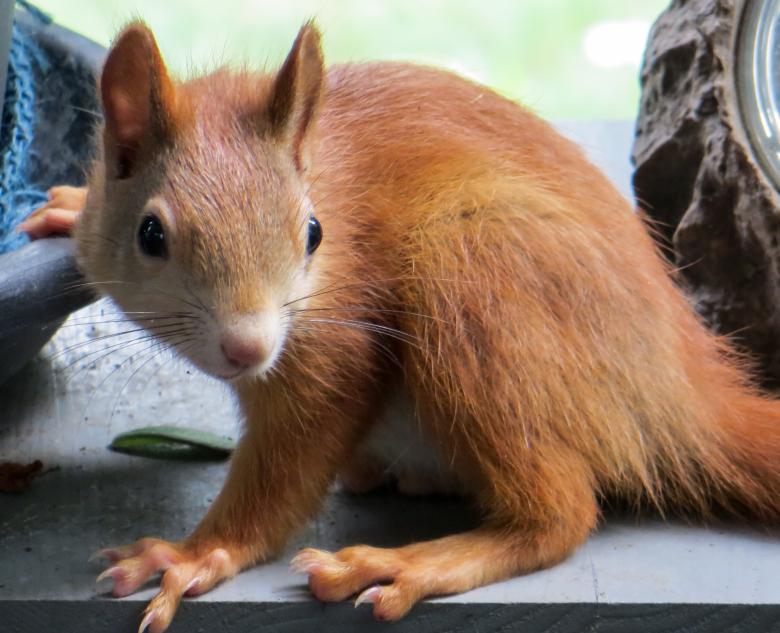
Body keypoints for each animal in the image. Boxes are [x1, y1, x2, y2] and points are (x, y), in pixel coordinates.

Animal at [20, 20, 780, 633]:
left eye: (314, 231)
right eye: (150, 234)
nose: (250, 347)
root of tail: (681, 387)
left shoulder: (336, 344)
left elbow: (288, 462)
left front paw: (191, 553)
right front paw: (73, 203)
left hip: (476, 270)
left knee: (557, 517)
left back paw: (411, 564)